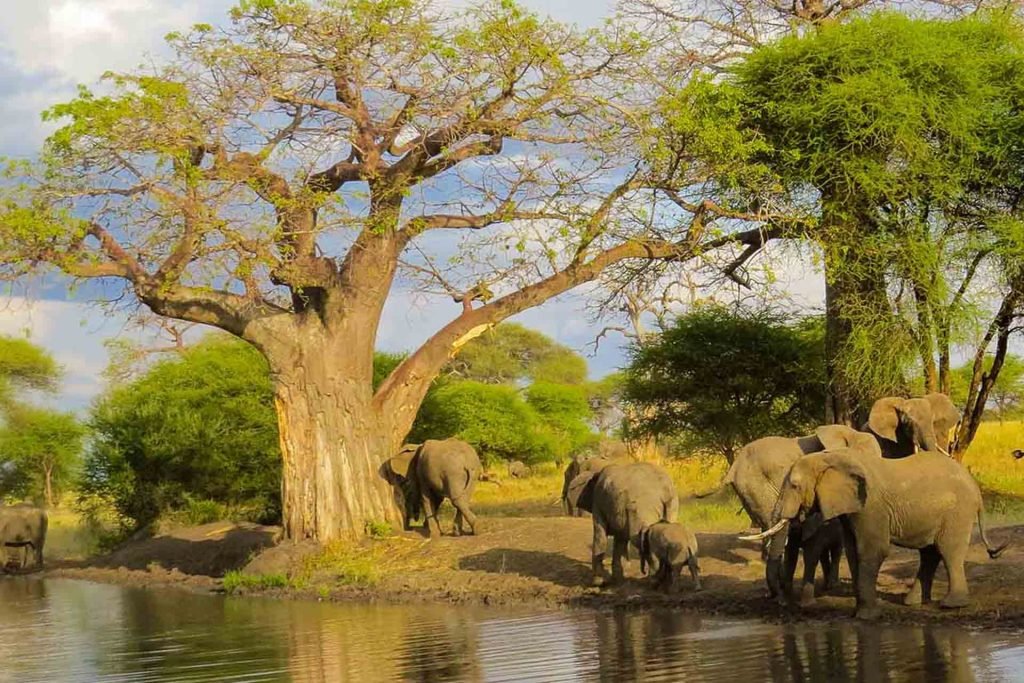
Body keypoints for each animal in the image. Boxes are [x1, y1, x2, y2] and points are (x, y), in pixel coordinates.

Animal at [747, 447, 1007, 619]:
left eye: (794, 486)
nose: (781, 604)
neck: (829, 458)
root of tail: (975, 488)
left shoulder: (871, 506)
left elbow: (873, 550)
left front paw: (866, 616)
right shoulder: (851, 509)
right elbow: (854, 551)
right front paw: (860, 610)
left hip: (957, 512)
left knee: (948, 551)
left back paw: (951, 605)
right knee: (930, 553)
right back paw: (913, 603)